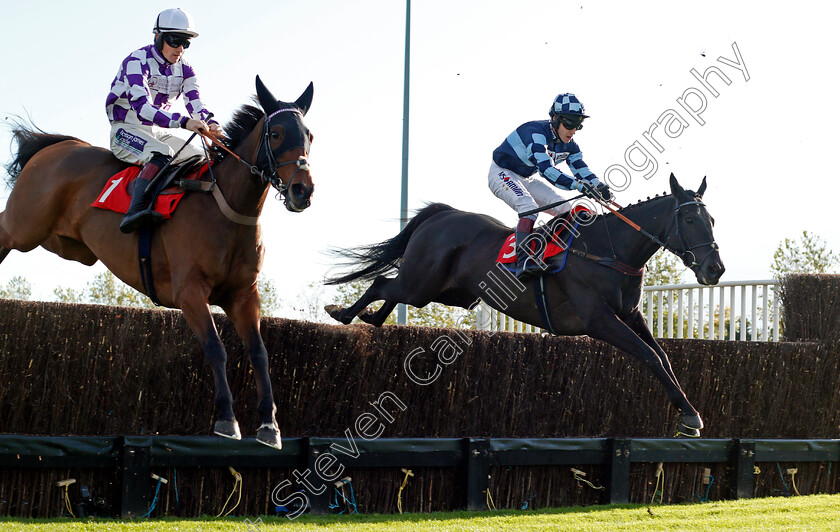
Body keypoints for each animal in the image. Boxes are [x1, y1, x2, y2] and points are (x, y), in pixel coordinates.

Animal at [0, 76, 316, 448]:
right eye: (277, 133)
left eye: (309, 135)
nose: (302, 190)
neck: (226, 207)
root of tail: (56, 147)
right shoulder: (189, 291)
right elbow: (216, 347)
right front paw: (226, 419)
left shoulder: (243, 294)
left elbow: (259, 352)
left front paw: (269, 424)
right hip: (23, 228)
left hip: (66, 244)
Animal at [324, 175, 724, 436]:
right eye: (690, 219)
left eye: (712, 219)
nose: (715, 269)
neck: (609, 250)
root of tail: (443, 214)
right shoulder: (599, 321)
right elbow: (649, 355)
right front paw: (690, 418)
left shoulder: (630, 315)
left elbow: (663, 356)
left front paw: (688, 412)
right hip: (422, 282)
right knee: (382, 282)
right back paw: (343, 313)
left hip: (447, 291)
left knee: (389, 290)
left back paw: (370, 319)